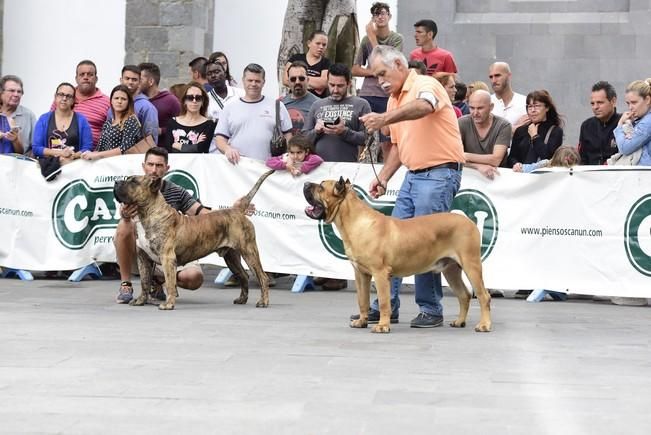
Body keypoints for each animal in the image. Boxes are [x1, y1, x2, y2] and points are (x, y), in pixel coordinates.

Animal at [113, 170, 274, 310]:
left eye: (134, 181)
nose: (116, 182)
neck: (147, 213)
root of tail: (238, 210)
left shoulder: (167, 258)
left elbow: (170, 282)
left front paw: (168, 304)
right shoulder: (143, 258)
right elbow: (144, 281)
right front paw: (140, 300)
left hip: (249, 251)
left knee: (262, 277)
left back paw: (263, 302)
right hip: (231, 257)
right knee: (244, 276)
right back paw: (242, 299)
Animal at [304, 179, 492, 336]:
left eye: (321, 187)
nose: (305, 183)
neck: (356, 222)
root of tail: (469, 221)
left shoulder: (380, 273)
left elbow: (384, 302)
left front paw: (382, 326)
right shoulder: (361, 274)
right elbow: (362, 300)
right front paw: (362, 321)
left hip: (471, 265)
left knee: (483, 296)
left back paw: (484, 325)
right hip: (451, 270)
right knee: (464, 295)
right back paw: (459, 321)